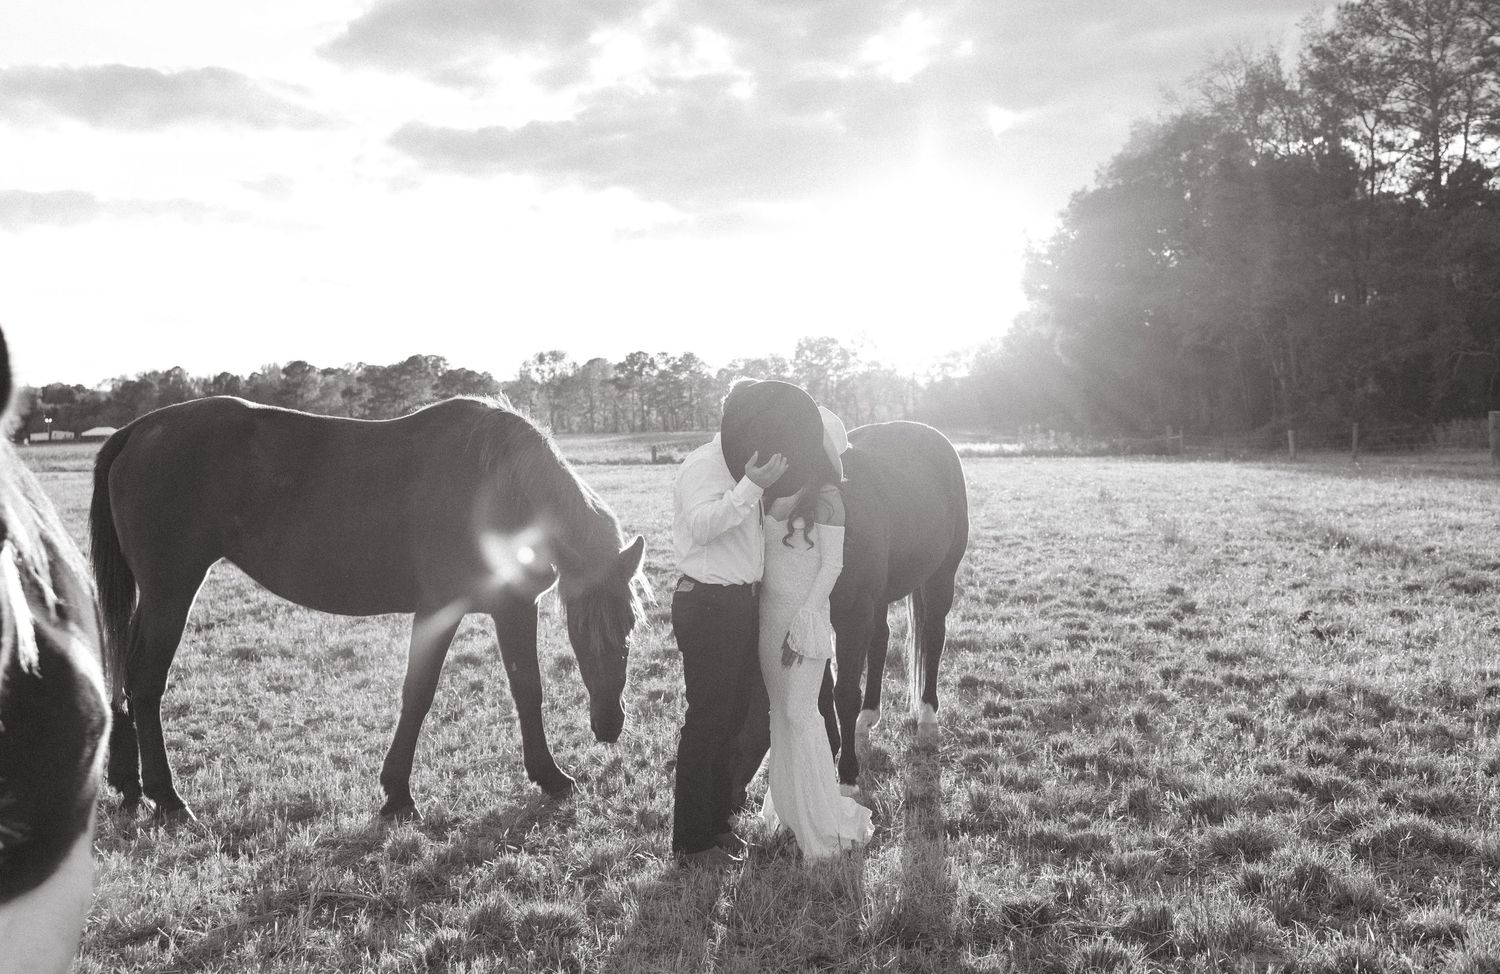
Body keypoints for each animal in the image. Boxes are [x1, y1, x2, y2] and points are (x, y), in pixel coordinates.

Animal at [89, 395, 646, 824]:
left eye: (629, 624)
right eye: (588, 627)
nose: (610, 723)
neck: (498, 487)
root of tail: (140, 429)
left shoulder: (512, 607)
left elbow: (525, 689)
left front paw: (548, 777)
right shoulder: (444, 609)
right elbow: (421, 694)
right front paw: (399, 795)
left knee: (126, 676)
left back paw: (130, 787)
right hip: (170, 592)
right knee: (145, 683)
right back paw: (169, 800)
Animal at [731, 419, 968, 804]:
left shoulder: (852, 616)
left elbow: (843, 693)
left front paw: (847, 778)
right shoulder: (816, 616)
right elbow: (824, 688)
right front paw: (831, 746)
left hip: (940, 578)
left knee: (933, 636)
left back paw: (928, 718)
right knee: (882, 639)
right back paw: (867, 717)